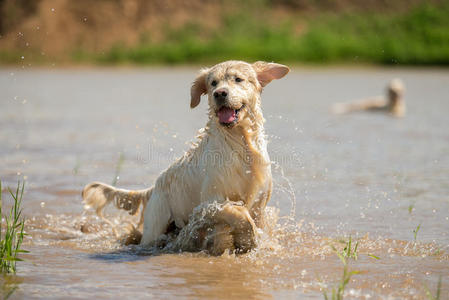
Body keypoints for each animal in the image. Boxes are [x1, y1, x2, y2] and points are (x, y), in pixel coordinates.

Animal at [82, 61, 288, 255]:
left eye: (238, 79)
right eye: (213, 83)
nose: (220, 93)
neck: (240, 142)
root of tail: (155, 186)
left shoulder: (259, 205)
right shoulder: (209, 204)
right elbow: (239, 213)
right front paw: (249, 240)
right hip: (156, 225)